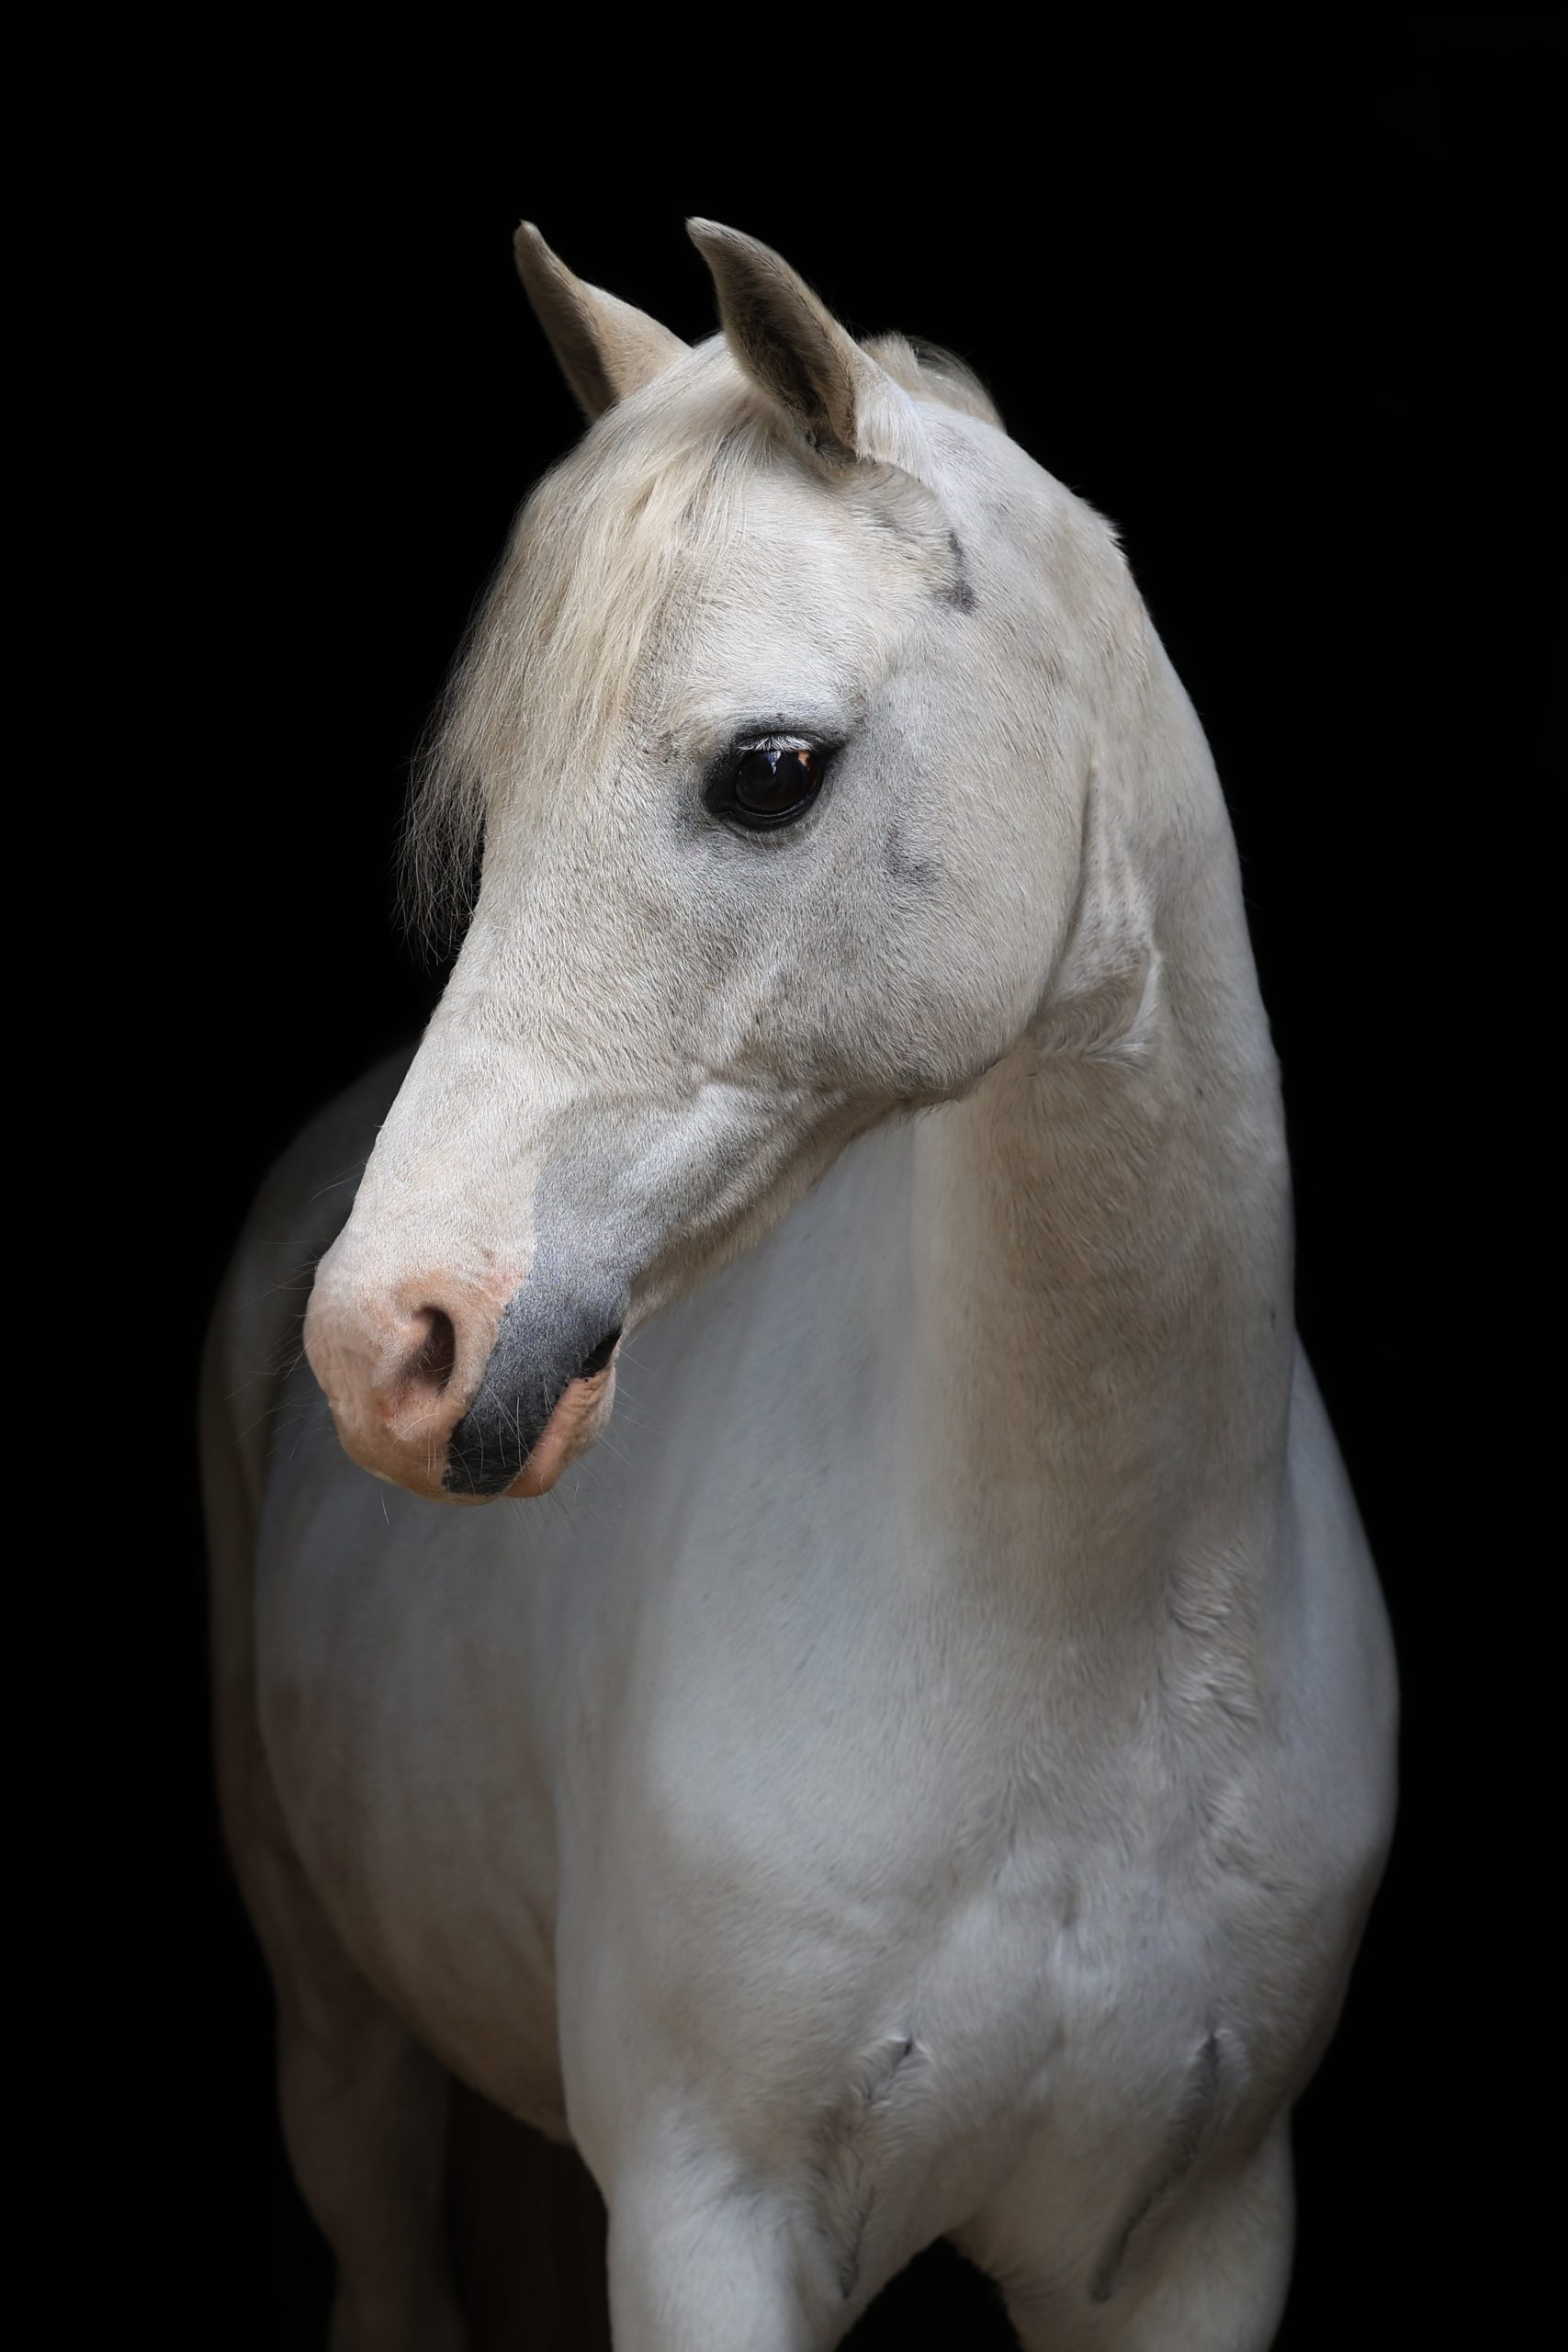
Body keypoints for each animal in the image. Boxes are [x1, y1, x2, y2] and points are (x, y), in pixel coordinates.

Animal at [201, 218, 1397, 2351]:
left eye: (769, 771)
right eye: (495, 802)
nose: (384, 1341)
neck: (1075, 1632)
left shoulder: (1197, 2239)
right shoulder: (707, 2223)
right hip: (343, 2051)